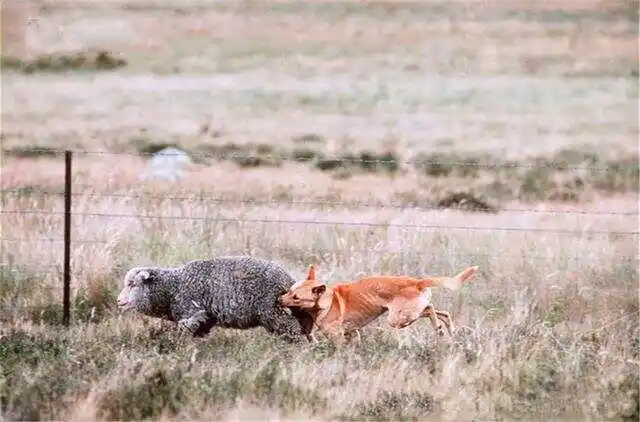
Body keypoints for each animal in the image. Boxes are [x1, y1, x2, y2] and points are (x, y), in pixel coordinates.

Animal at [117, 256, 316, 342]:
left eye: (132, 284)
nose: (118, 301)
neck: (172, 288)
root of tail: (288, 280)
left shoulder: (190, 314)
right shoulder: (204, 319)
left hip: (276, 313)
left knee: (294, 332)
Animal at [278, 264, 478, 342]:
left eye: (296, 297)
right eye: (289, 291)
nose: (279, 300)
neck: (327, 300)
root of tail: (416, 282)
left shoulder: (337, 337)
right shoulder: (353, 334)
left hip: (397, 318)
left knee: (430, 309)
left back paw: (439, 328)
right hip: (407, 315)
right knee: (443, 313)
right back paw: (448, 329)